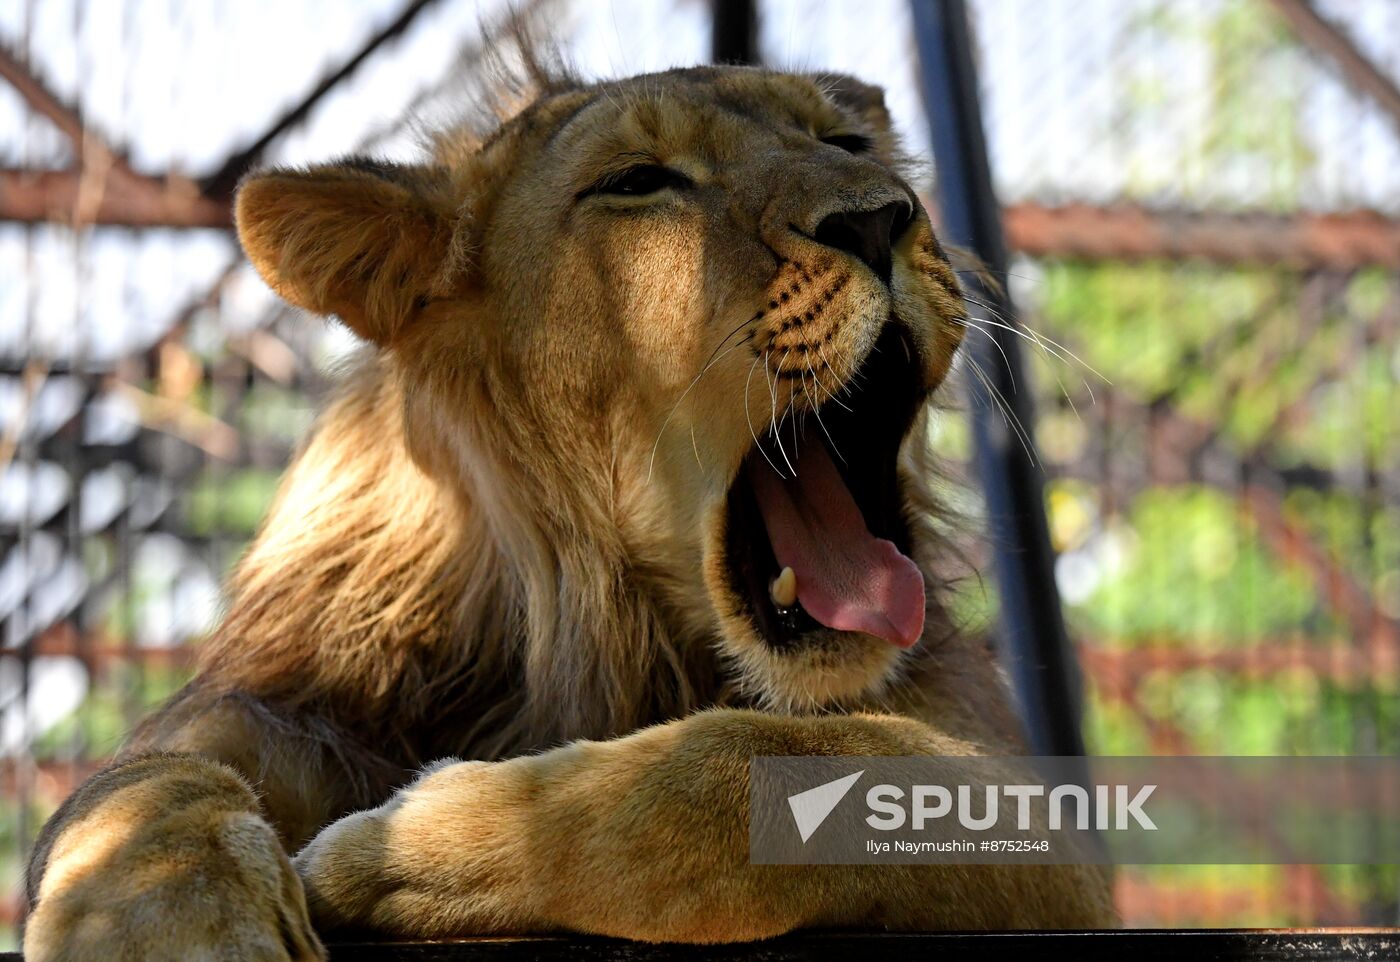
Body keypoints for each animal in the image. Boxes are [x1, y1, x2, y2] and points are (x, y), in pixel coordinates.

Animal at [22, 65, 1115, 959]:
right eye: (639, 181)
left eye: (846, 144)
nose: (882, 217)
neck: (610, 630)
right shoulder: (281, 702)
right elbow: (137, 783)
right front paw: (162, 918)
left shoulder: (1054, 842)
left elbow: (760, 758)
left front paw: (407, 849)